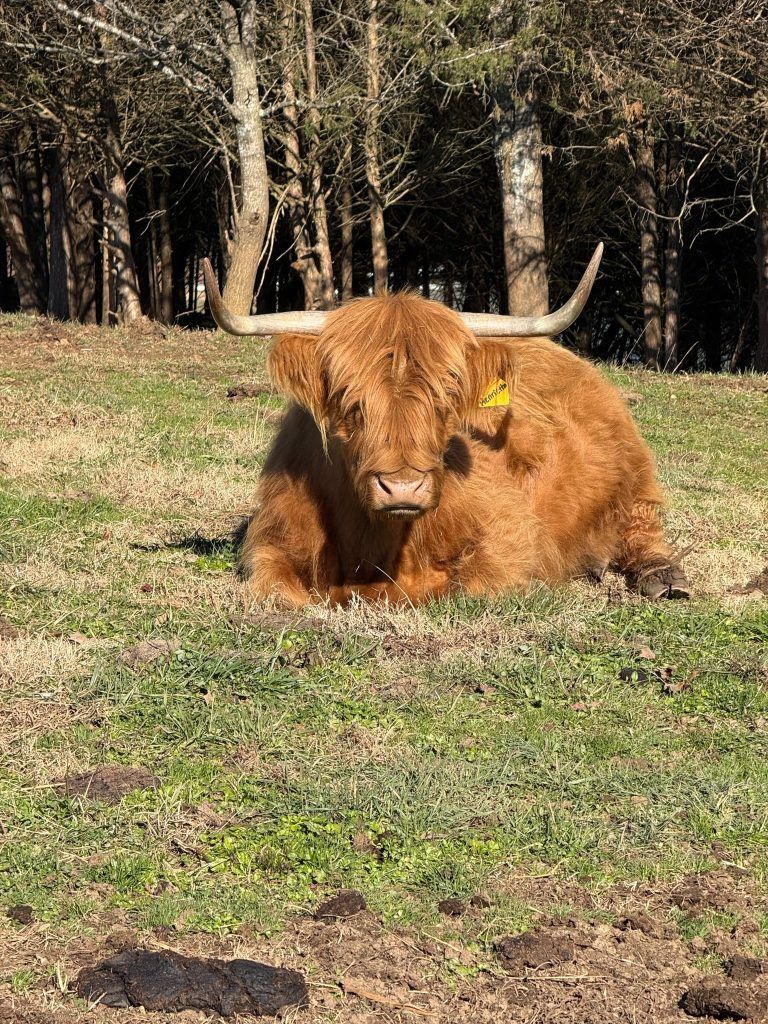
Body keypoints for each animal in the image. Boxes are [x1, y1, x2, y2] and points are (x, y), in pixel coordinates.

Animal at [202, 247, 689, 608]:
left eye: (445, 398)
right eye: (348, 399)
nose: (402, 487)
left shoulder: (509, 542)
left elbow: (450, 588)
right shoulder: (271, 542)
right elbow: (276, 589)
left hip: (635, 480)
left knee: (641, 525)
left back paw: (663, 576)